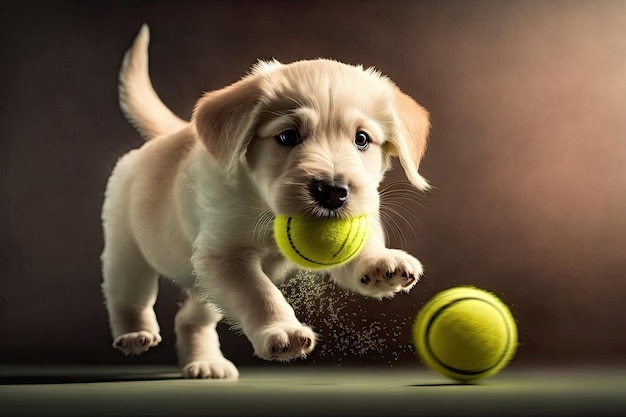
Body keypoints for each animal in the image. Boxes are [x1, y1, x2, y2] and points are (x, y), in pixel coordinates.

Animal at [101, 24, 428, 378]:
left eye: (362, 139)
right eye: (288, 136)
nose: (332, 192)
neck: (266, 206)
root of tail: (168, 136)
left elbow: (359, 246)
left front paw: (380, 262)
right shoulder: (225, 256)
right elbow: (258, 293)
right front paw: (282, 330)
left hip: (203, 283)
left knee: (189, 318)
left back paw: (205, 362)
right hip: (127, 248)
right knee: (128, 295)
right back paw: (135, 333)